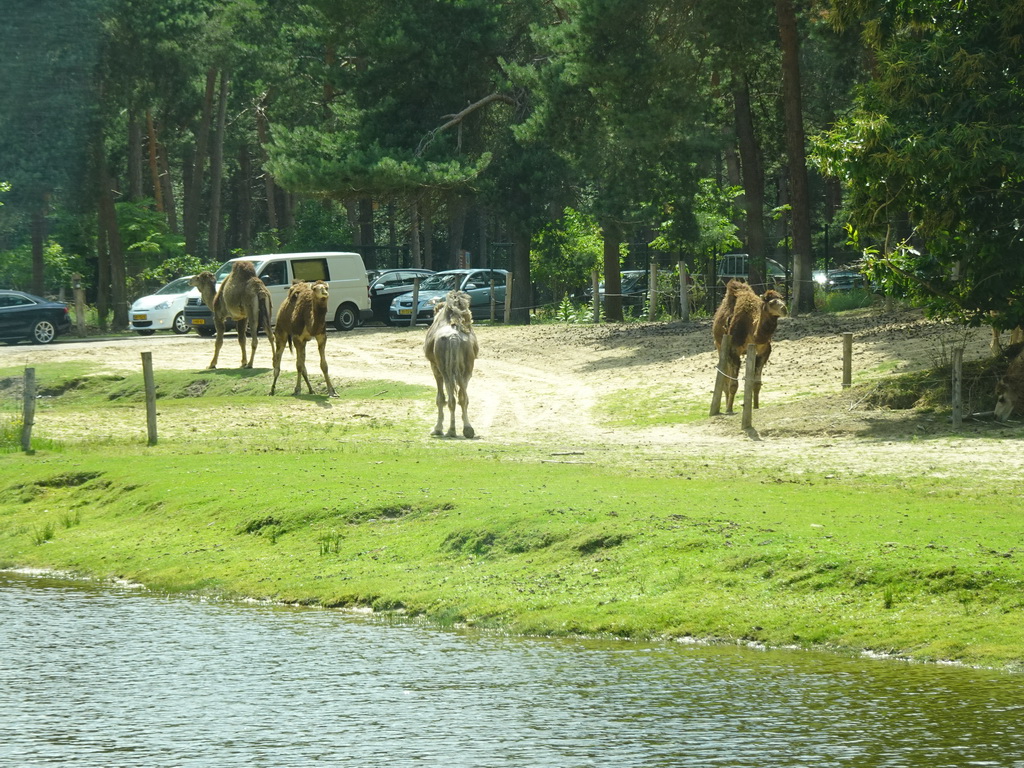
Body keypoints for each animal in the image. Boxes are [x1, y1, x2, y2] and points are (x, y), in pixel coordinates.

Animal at [421, 290, 477, 438]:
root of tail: (453, 338)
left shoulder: (435, 369)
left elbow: (440, 398)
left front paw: (437, 428)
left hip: (445, 370)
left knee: (451, 399)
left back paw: (451, 430)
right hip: (467, 370)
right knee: (463, 398)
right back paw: (468, 429)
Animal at [712, 280, 790, 415]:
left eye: (782, 299)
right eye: (771, 302)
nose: (784, 309)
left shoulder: (764, 351)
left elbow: (757, 383)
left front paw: (756, 407)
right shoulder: (734, 350)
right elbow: (733, 384)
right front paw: (729, 409)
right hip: (720, 344)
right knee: (725, 373)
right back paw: (726, 405)